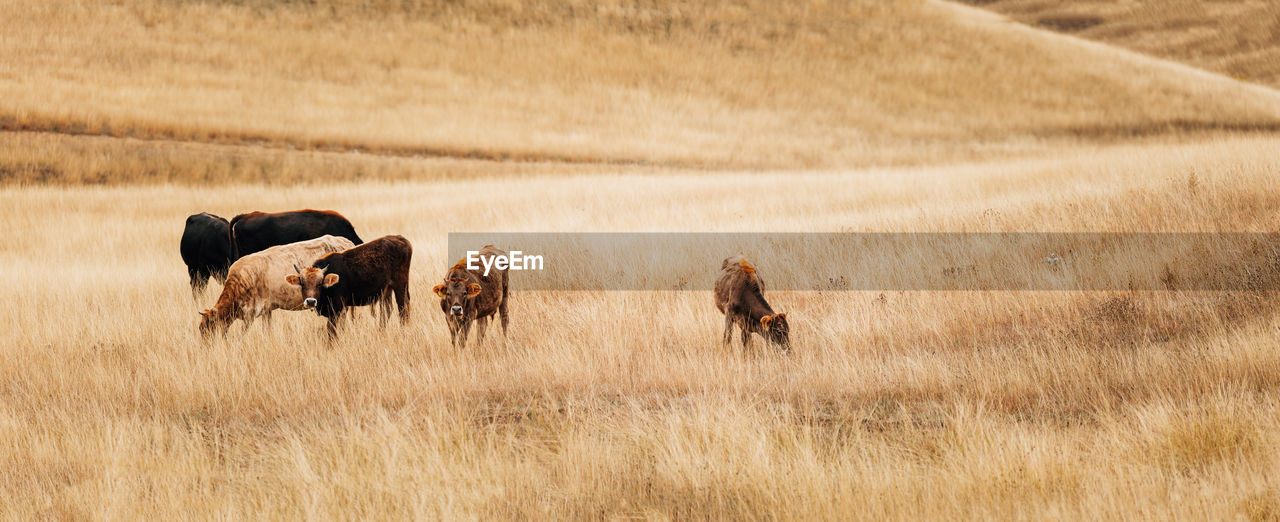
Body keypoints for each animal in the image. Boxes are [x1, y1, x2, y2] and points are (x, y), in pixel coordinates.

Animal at [195, 232, 353, 337]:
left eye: (208, 327)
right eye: (200, 328)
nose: (205, 347)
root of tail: (346, 242)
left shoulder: (250, 313)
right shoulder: (267, 309)